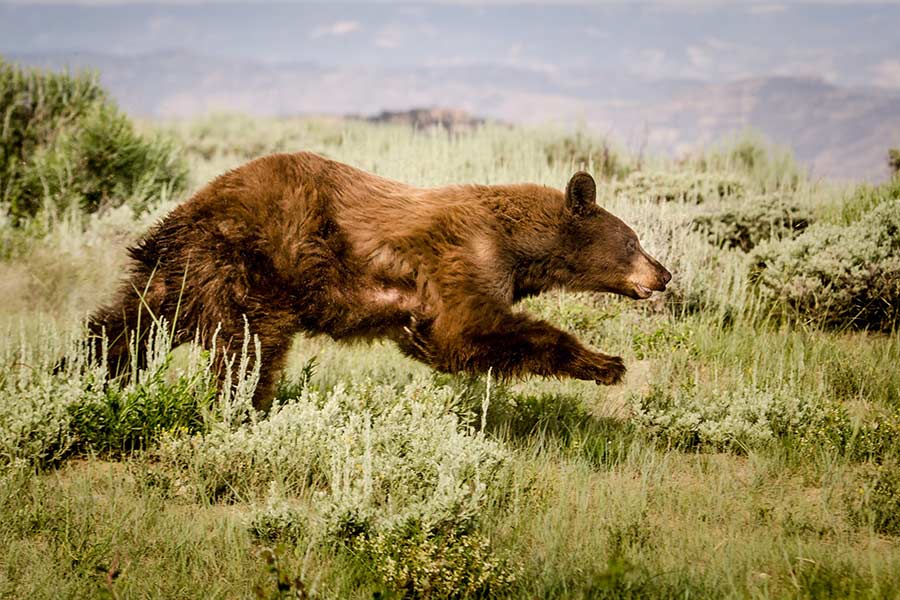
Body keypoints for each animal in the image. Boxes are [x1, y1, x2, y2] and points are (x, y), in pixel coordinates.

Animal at [88, 151, 672, 412]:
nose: (664, 274)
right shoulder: (465, 254)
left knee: (127, 323)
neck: (516, 242)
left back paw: (90, 371)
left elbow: (447, 340)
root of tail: (187, 211)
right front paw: (606, 364)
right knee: (251, 348)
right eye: (633, 240)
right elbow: (469, 329)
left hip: (178, 273)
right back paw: (244, 409)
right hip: (250, 266)